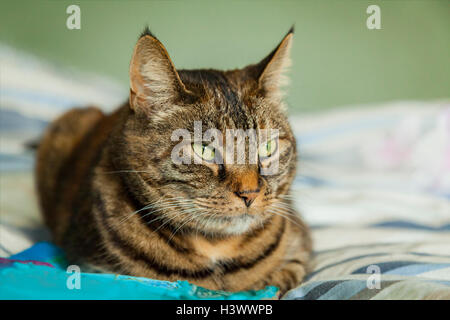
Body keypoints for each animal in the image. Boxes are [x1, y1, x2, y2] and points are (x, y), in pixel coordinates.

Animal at [35, 27, 312, 296]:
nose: (250, 193)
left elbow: (282, 278)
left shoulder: (301, 249)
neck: (216, 247)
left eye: (268, 147)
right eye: (204, 149)